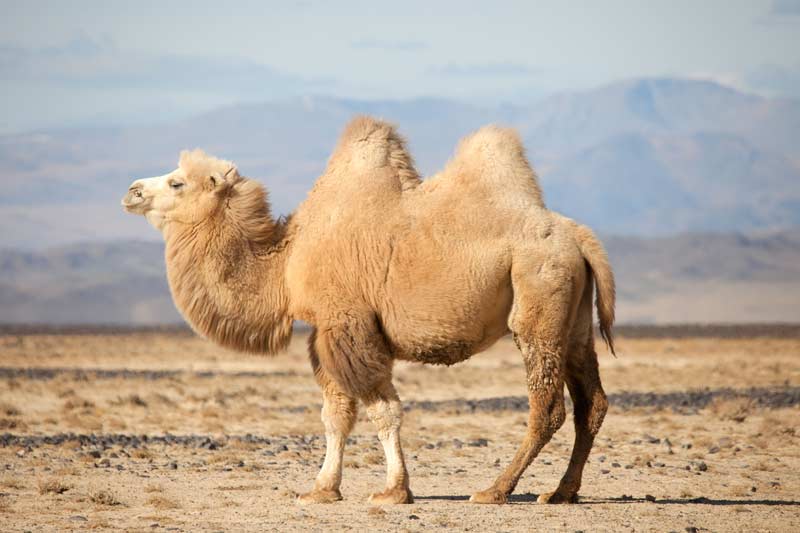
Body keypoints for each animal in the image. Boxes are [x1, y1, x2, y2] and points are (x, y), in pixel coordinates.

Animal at [121, 116, 615, 506]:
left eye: (177, 182)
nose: (131, 191)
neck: (285, 261)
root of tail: (578, 236)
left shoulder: (349, 324)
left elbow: (381, 410)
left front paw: (394, 491)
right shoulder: (325, 331)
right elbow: (336, 414)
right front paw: (322, 489)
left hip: (538, 297)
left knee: (547, 405)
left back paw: (495, 490)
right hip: (573, 320)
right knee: (592, 402)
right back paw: (561, 492)